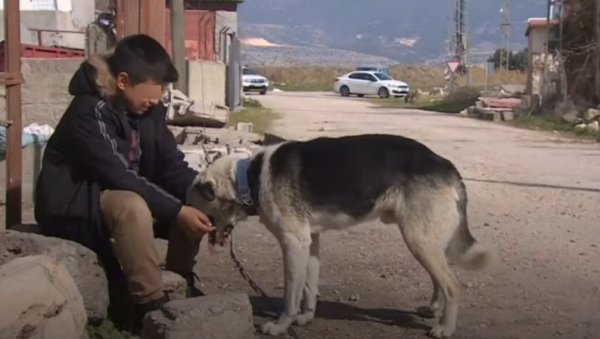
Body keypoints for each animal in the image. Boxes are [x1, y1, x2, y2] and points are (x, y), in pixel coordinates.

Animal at [188, 134, 492, 338]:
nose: (204, 231)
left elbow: (290, 293)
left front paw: (282, 324)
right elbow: (308, 288)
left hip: (418, 239)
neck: (249, 176)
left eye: (202, 210)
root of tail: (446, 165)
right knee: (441, 277)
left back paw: (445, 327)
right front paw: (306, 318)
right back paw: (434, 310)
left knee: (453, 285)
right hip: (426, 240)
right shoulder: (310, 242)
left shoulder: (293, 243)